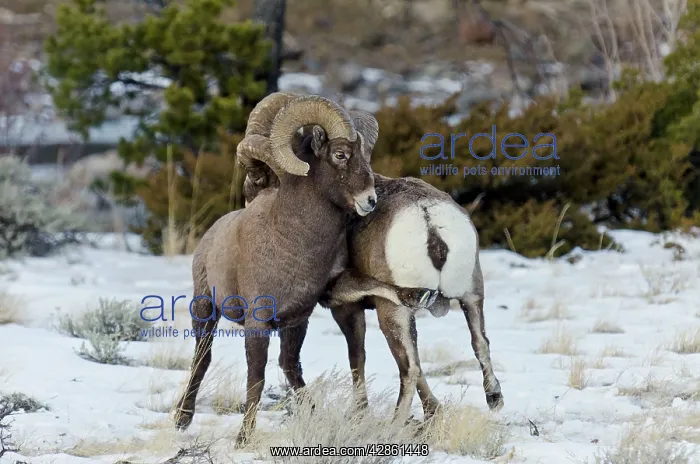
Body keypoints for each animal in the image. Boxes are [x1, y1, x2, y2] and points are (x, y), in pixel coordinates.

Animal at [173, 94, 434, 446]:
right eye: (340, 154)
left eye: (366, 156)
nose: (369, 201)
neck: (293, 244)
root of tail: (209, 238)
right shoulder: (257, 323)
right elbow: (256, 378)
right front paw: (243, 438)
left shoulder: (302, 316)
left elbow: (293, 365)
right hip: (204, 310)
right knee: (202, 358)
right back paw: (182, 419)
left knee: (287, 366)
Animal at [237, 94, 503, 425]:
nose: (250, 198)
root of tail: (429, 221)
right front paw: (434, 412)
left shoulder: (346, 306)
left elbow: (357, 356)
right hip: (471, 295)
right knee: (479, 343)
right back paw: (494, 398)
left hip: (394, 311)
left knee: (409, 368)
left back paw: (394, 425)